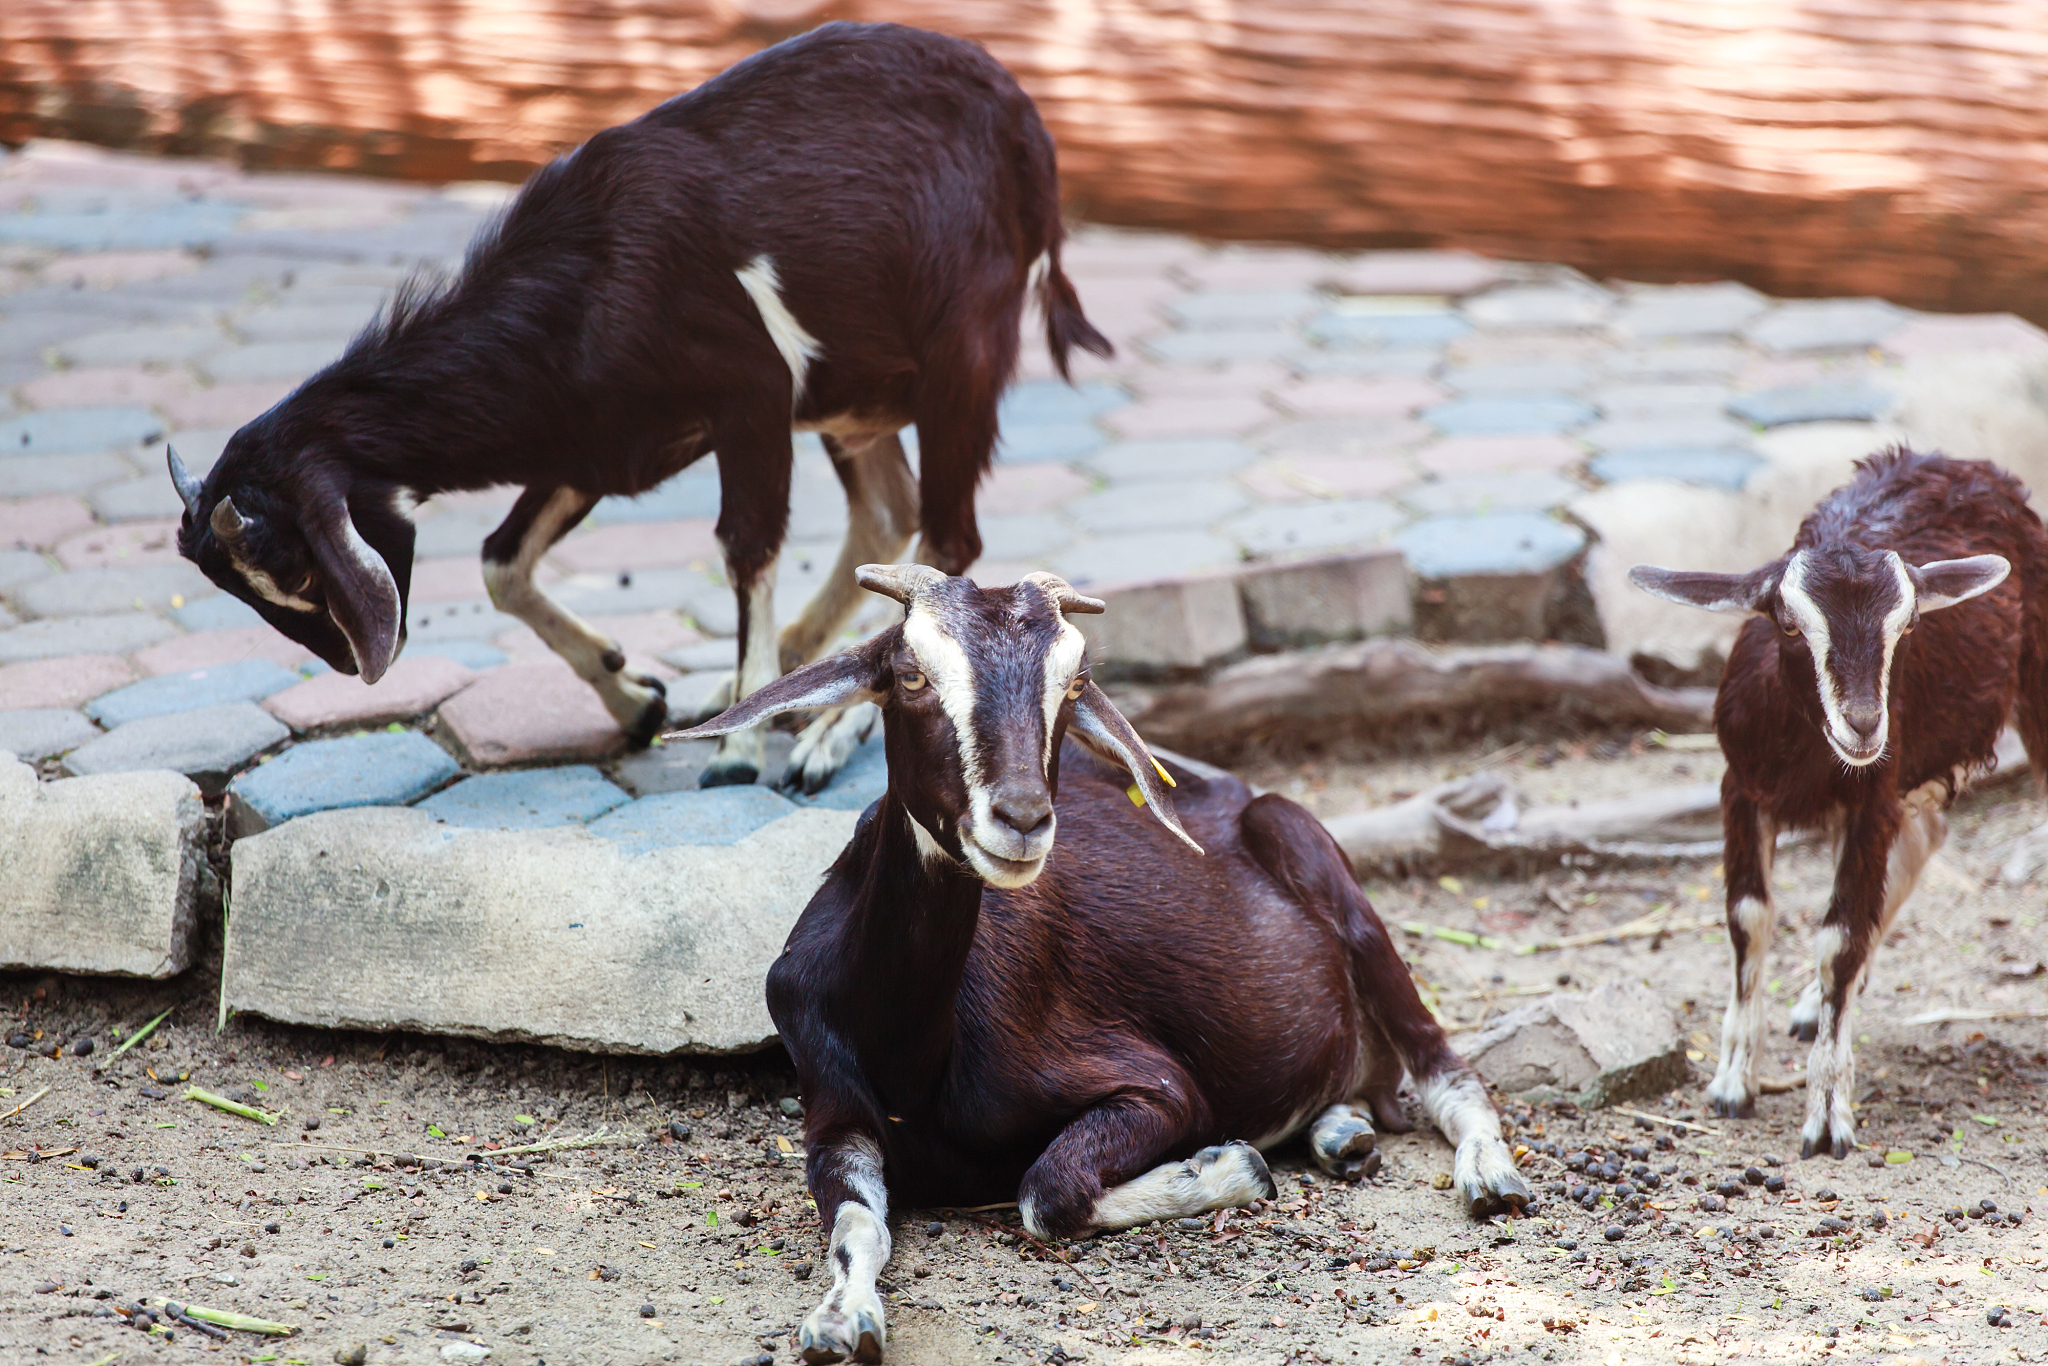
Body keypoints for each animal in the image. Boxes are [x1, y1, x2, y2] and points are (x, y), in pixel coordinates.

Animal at [166, 21, 1109, 790]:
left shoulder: (752, 394)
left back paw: (820, 736)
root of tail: (1032, 137)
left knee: (949, 535)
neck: (588, 281)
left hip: (963, 353)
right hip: (853, 399)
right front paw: (640, 699)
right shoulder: (594, 447)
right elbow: (502, 562)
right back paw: (794, 680)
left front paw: (735, 752)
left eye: (297, 573)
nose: (352, 663)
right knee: (888, 512)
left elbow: (747, 549)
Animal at [677, 565, 1530, 1365]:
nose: (1022, 818)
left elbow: (1045, 1192)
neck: (911, 1055)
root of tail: (1237, 792)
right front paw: (838, 1323)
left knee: (1444, 1067)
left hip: (1322, 865)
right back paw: (1342, 1133)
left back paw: (1490, 1178)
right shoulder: (835, 1119)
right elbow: (858, 1226)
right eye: (911, 674)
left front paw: (1228, 1167)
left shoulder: (1158, 1088)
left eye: (1075, 682)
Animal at [1630, 448, 2048, 1158]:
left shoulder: (1868, 797)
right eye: (1789, 624)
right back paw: (1810, 1005)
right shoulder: (1740, 787)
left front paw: (1827, 1115)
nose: (1863, 724)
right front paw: (1732, 1082)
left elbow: (1840, 938)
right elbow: (1748, 916)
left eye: (1908, 624)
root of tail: (1961, 462)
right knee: (1924, 838)